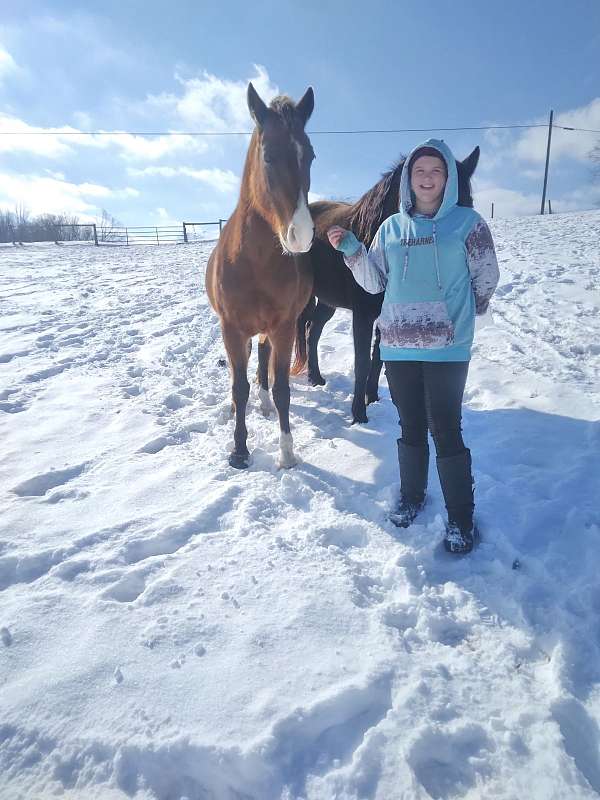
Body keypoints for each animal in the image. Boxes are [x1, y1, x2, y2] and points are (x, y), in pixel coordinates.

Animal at [207, 83, 314, 468]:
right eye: (268, 157)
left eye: (310, 156)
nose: (302, 234)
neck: (253, 263)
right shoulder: (231, 328)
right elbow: (239, 386)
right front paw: (239, 450)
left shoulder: (283, 327)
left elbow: (282, 388)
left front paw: (287, 453)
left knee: (264, 359)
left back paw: (265, 404)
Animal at [292, 149, 480, 424]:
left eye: (470, 204)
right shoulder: (363, 315)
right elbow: (361, 362)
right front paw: (359, 414)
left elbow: (378, 358)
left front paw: (373, 398)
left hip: (328, 301)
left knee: (312, 330)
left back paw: (316, 377)